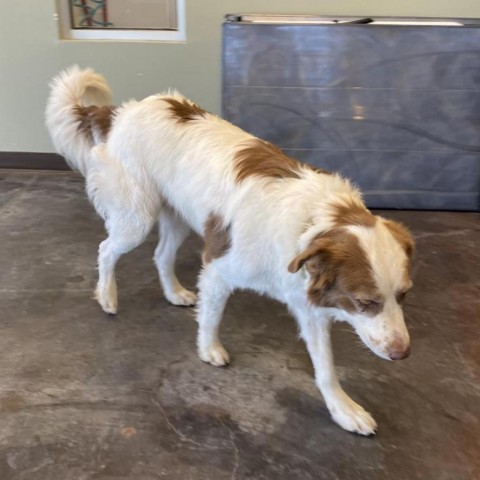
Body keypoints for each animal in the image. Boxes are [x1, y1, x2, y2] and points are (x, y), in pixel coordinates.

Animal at [45, 65, 414, 436]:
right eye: (364, 302)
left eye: (403, 295)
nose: (402, 354)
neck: (310, 222)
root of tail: (123, 111)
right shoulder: (219, 268)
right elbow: (212, 316)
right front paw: (209, 349)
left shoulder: (309, 303)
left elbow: (326, 367)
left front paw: (344, 409)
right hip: (137, 218)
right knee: (106, 249)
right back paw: (107, 296)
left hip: (178, 216)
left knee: (161, 255)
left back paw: (173, 292)